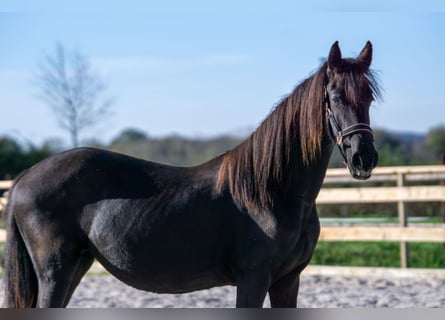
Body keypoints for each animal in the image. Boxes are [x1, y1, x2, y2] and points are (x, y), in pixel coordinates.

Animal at [2, 41, 378, 306]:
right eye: (334, 97)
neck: (273, 194)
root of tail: (24, 178)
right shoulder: (253, 279)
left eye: (369, 98)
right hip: (55, 272)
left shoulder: (288, 281)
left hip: (76, 265)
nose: (364, 158)